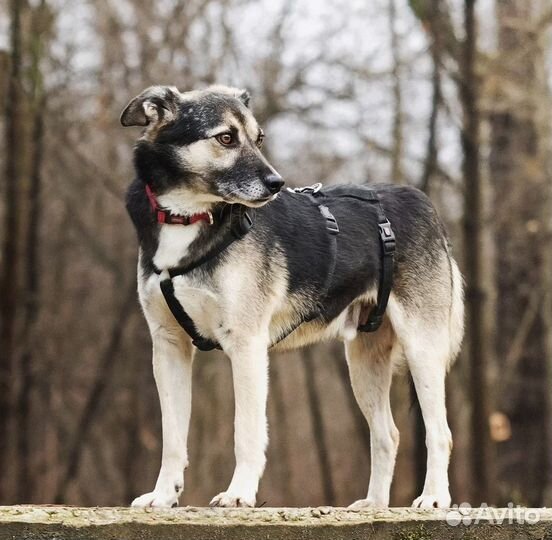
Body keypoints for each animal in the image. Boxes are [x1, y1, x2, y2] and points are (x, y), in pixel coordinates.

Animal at [122, 85, 466, 510]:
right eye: (226, 138)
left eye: (259, 138)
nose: (276, 183)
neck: (189, 217)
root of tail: (426, 204)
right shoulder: (168, 346)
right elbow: (172, 438)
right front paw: (162, 495)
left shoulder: (246, 346)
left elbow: (246, 432)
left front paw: (239, 493)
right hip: (364, 361)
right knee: (388, 434)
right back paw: (373, 504)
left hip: (422, 347)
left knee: (439, 432)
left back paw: (434, 498)